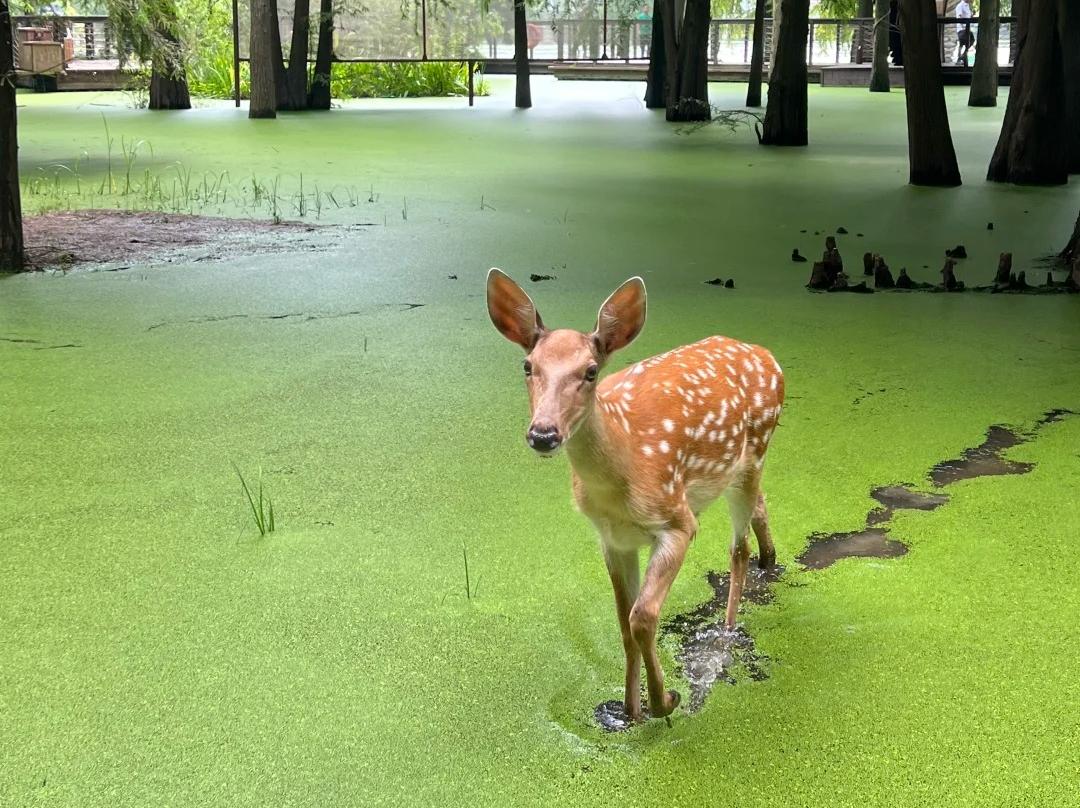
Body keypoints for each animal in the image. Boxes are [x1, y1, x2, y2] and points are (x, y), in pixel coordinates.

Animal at [486, 269, 785, 724]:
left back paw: (728, 631)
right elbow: (624, 625)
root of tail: (767, 355)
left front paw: (664, 702)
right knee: (760, 512)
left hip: (755, 454)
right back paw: (770, 563)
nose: (543, 434)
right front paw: (630, 711)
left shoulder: (678, 522)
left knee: (739, 549)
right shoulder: (611, 539)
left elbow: (643, 616)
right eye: (527, 366)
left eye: (591, 371)